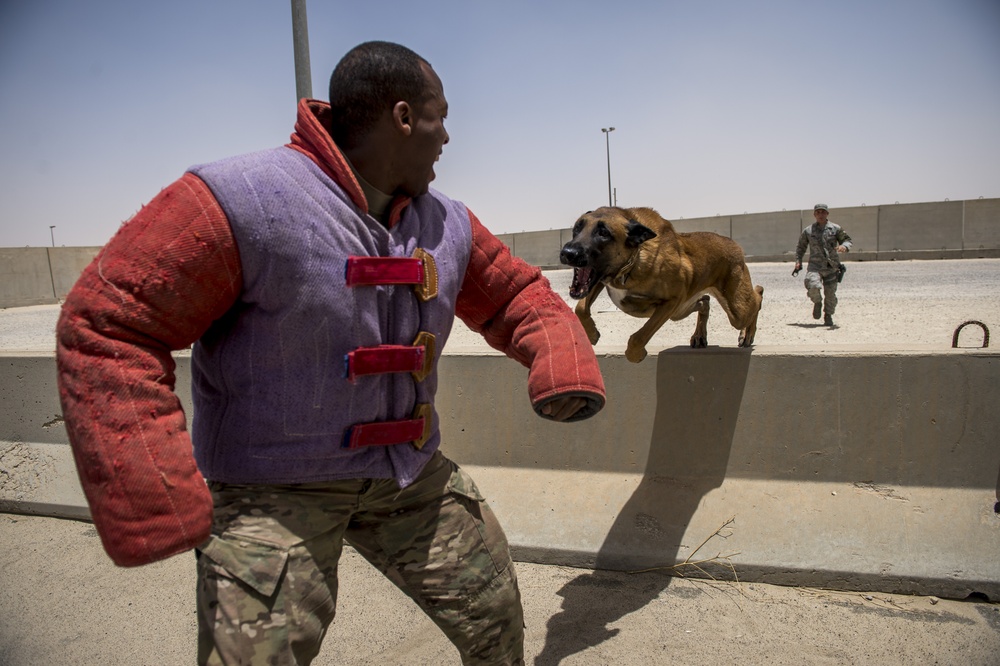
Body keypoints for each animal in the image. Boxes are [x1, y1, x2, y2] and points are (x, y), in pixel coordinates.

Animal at [560, 208, 760, 364]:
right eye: (577, 228)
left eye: (604, 233)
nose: (568, 252)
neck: (632, 261)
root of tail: (734, 243)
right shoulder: (599, 281)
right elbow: (581, 308)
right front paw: (592, 333)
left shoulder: (672, 300)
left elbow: (639, 336)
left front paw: (635, 354)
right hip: (681, 312)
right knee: (705, 301)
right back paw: (699, 336)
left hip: (736, 310)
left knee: (757, 296)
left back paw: (747, 334)